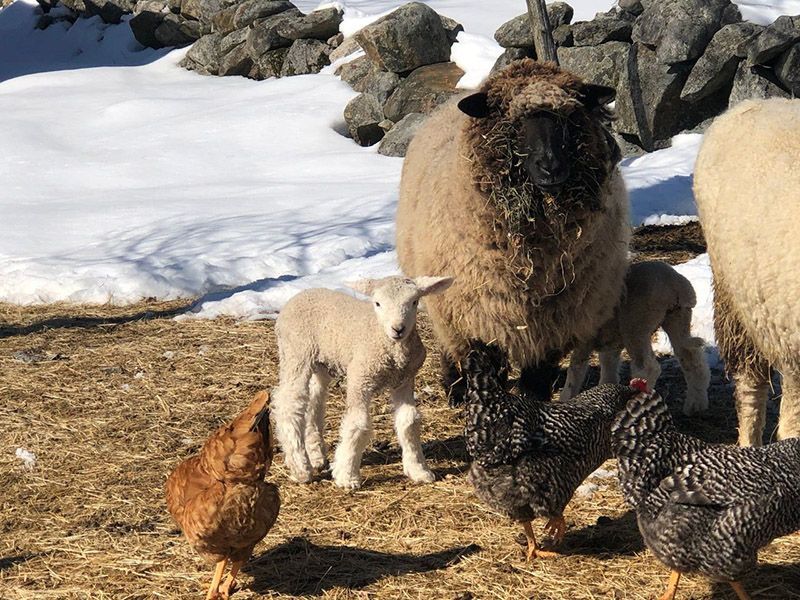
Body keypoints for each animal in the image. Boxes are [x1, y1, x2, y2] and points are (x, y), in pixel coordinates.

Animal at [271, 275, 453, 490]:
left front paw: (419, 470)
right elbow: (358, 424)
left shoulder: (405, 380)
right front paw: (347, 475)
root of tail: (300, 295)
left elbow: (409, 422)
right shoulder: (359, 378)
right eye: (378, 303)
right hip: (296, 353)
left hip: (321, 364)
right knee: (290, 404)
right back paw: (301, 468)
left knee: (313, 402)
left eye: (415, 302)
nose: (398, 329)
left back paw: (316, 456)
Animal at [396, 59, 629, 403]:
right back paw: (455, 387)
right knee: (448, 341)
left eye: (570, 116)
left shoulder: (558, 318)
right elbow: (483, 363)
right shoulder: (476, 310)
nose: (551, 167)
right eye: (512, 119)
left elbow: (539, 371)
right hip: (446, 301)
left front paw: (533, 400)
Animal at [560, 260, 710, 415]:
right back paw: (696, 404)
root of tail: (675, 284)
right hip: (677, 317)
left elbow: (575, 369)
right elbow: (608, 367)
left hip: (636, 326)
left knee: (648, 368)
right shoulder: (610, 342)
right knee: (692, 359)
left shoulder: (585, 340)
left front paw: (565, 399)